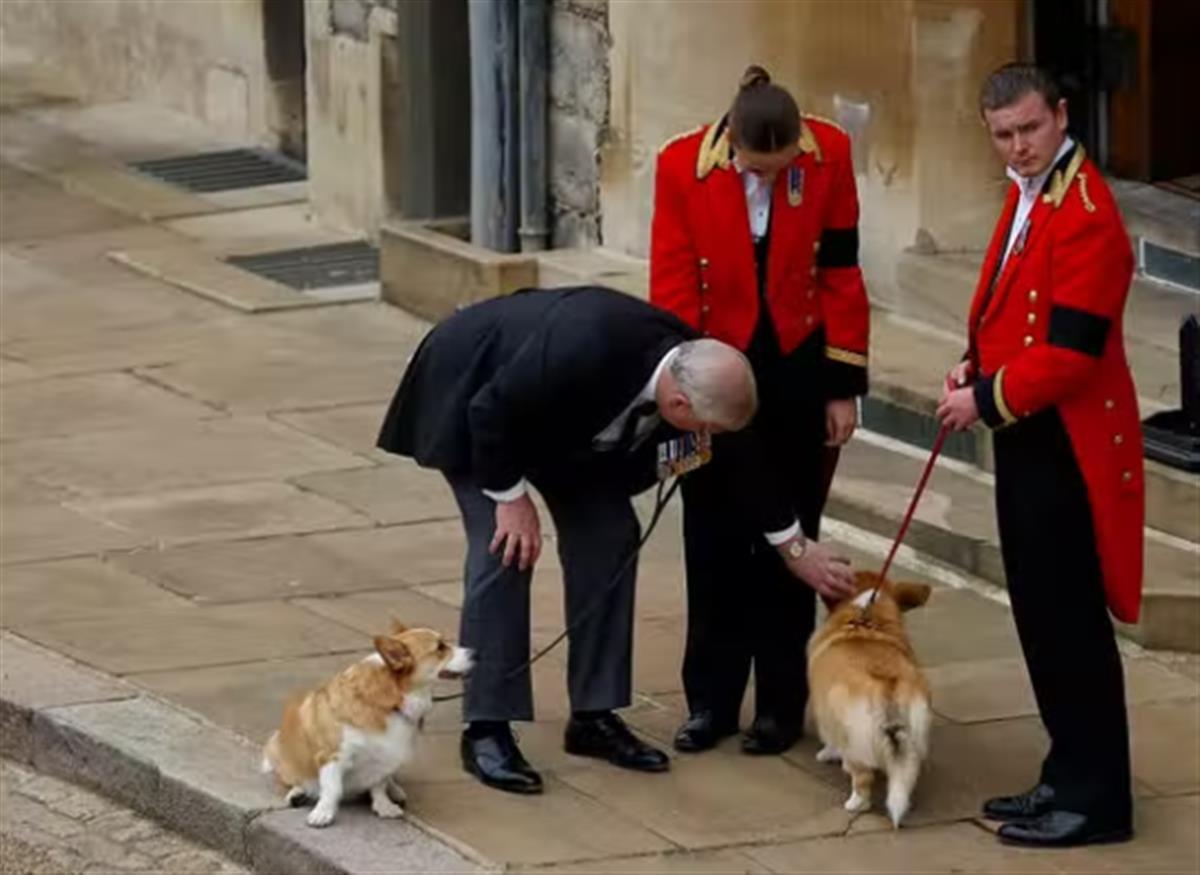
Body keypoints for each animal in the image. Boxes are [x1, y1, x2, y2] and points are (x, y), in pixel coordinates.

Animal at [262, 619, 472, 825]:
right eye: (440, 647)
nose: (475, 653)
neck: (391, 700)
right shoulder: (333, 756)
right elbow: (332, 788)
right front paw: (323, 812)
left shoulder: (384, 757)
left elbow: (378, 785)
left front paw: (384, 805)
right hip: (278, 751)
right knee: (294, 778)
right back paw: (298, 791)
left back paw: (395, 790)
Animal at [806, 573, 936, 825]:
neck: (865, 618)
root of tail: (887, 687)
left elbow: (830, 741)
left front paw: (826, 754)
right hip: (913, 741)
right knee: (903, 777)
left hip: (854, 742)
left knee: (862, 778)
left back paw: (854, 804)